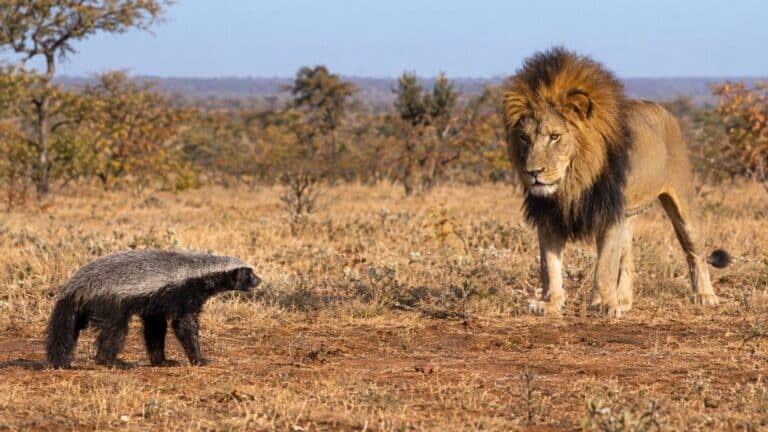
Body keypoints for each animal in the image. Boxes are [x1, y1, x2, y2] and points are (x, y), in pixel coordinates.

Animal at [502, 47, 730, 317]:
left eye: (555, 136)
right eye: (524, 138)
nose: (533, 172)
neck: (574, 181)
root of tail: (662, 110)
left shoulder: (609, 214)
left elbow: (605, 265)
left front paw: (602, 304)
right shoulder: (549, 215)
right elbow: (549, 265)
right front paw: (550, 303)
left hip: (683, 199)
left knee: (695, 251)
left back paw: (705, 295)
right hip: (628, 214)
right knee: (628, 260)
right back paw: (623, 300)